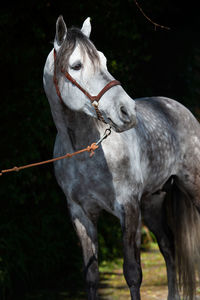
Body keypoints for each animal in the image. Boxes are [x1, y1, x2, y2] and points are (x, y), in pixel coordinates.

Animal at [43, 16, 200, 300]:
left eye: (104, 61)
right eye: (76, 65)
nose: (127, 110)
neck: (86, 150)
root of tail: (176, 107)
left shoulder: (127, 207)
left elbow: (133, 273)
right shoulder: (81, 214)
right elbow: (91, 276)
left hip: (191, 187)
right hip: (153, 202)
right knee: (168, 247)